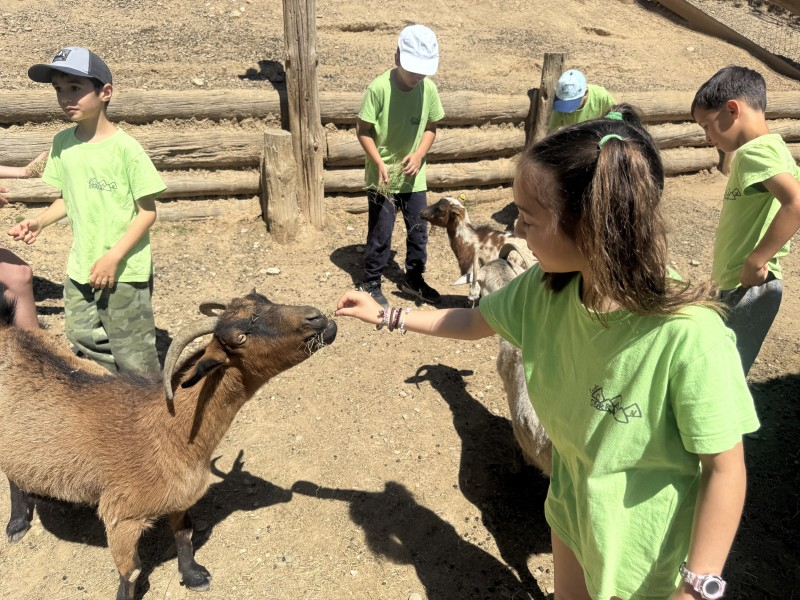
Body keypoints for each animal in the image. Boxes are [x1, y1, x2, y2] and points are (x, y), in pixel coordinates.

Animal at [0, 290, 337, 600]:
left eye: (264, 298)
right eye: (240, 337)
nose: (318, 318)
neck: (168, 432)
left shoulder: (180, 498)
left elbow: (184, 533)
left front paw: (194, 576)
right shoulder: (121, 517)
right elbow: (131, 572)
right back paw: (17, 524)